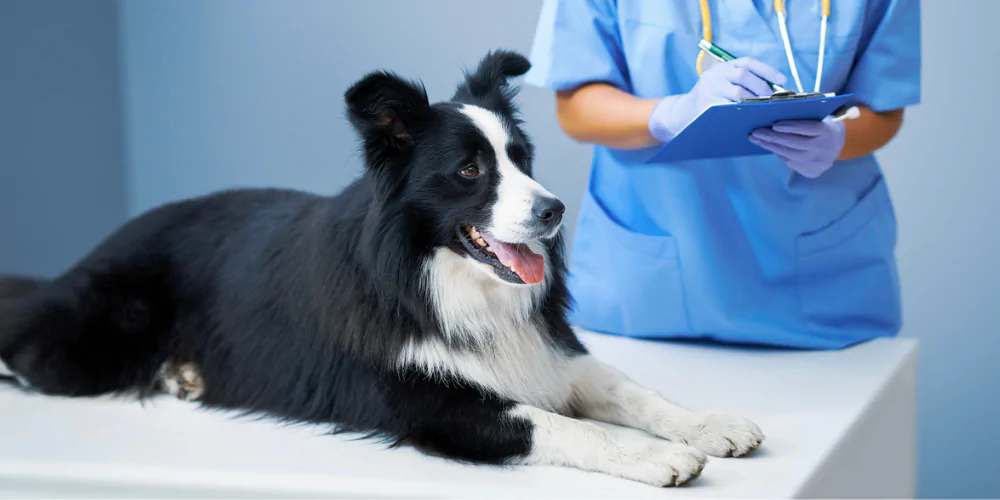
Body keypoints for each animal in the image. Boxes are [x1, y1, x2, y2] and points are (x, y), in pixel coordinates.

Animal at [0, 50, 760, 488]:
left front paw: (710, 425)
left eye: (521, 158)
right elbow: (559, 424)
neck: (436, 277)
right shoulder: (427, 403)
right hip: (95, 333)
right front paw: (652, 458)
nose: (553, 211)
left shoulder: (546, 351)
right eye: (469, 170)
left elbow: (629, 391)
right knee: (30, 351)